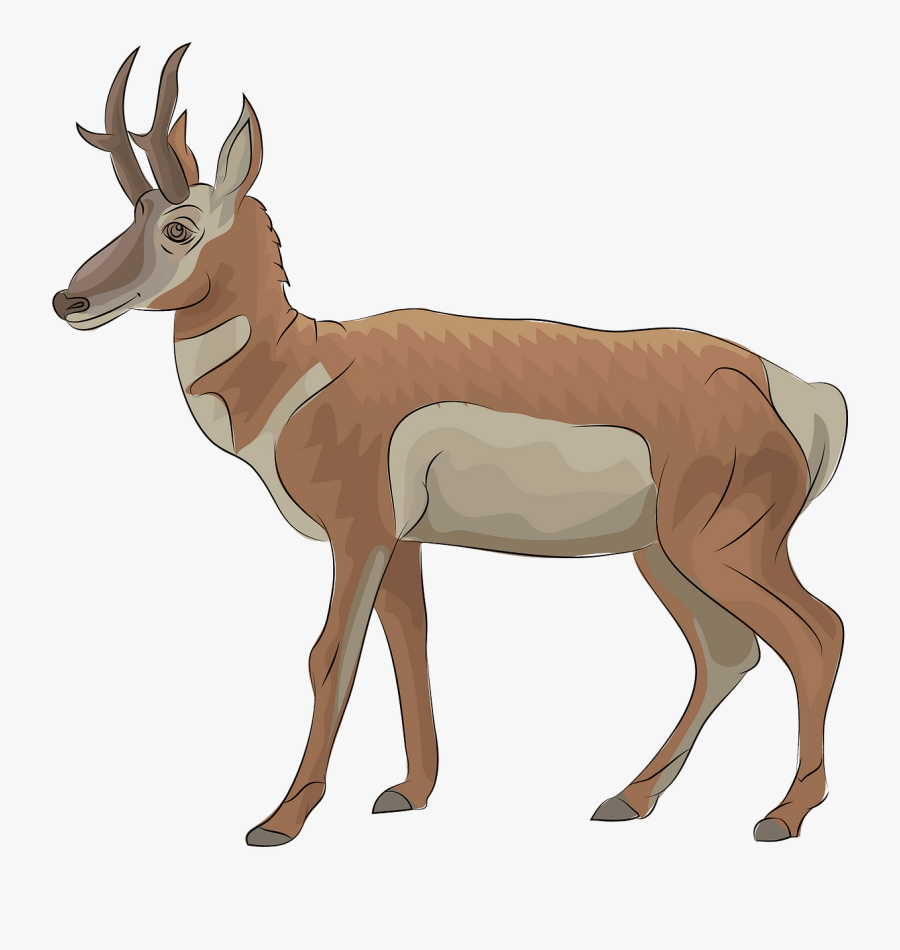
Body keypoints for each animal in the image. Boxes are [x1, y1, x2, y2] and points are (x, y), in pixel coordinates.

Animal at [54, 46, 847, 846]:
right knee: (729, 653)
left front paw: (281, 819)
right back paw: (628, 798)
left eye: (179, 228)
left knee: (816, 633)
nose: (69, 301)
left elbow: (330, 656)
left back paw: (782, 814)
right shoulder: (401, 543)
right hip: (664, 555)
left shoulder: (358, 534)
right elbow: (411, 646)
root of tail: (792, 388)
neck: (308, 363)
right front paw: (409, 792)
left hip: (717, 549)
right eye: (130, 214)